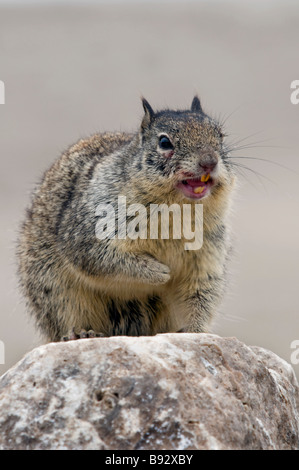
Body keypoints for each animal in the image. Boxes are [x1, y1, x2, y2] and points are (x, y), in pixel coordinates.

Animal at [17, 96, 237, 342]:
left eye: (220, 136)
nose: (209, 161)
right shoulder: (92, 232)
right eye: (164, 142)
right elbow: (110, 260)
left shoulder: (207, 259)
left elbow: (201, 296)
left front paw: (195, 331)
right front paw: (160, 272)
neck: (176, 212)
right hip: (57, 292)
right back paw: (80, 334)